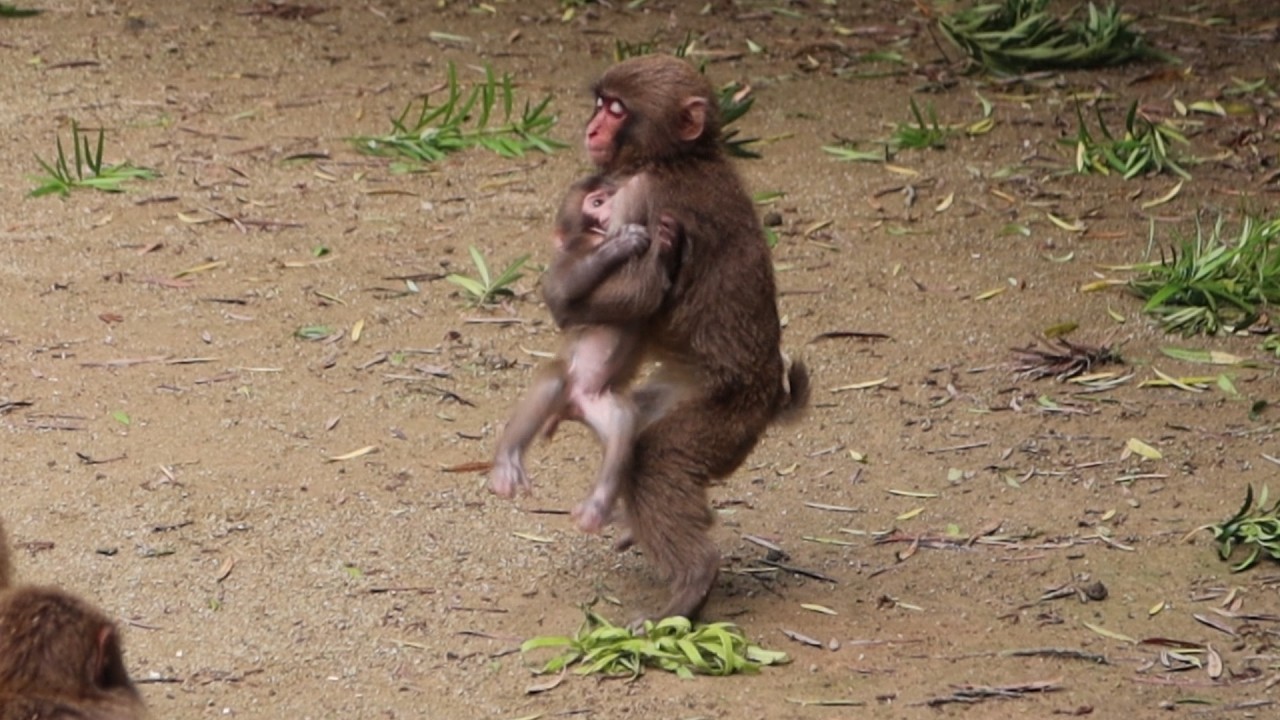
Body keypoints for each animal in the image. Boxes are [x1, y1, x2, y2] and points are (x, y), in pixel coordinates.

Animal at [490, 172, 680, 534]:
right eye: (597, 201)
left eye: (610, 192)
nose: (615, 199)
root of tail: (573, 408)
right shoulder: (578, 248)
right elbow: (562, 289)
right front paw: (620, 245)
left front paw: (669, 237)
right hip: (570, 380)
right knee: (554, 380)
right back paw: (506, 461)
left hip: (600, 404)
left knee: (623, 421)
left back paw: (597, 507)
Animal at [562, 54, 811, 623]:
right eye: (601, 103)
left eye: (616, 109)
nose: (591, 128)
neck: (679, 157)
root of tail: (771, 399)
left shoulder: (642, 198)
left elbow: (637, 297)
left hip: (722, 420)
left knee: (656, 460)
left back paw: (694, 582)